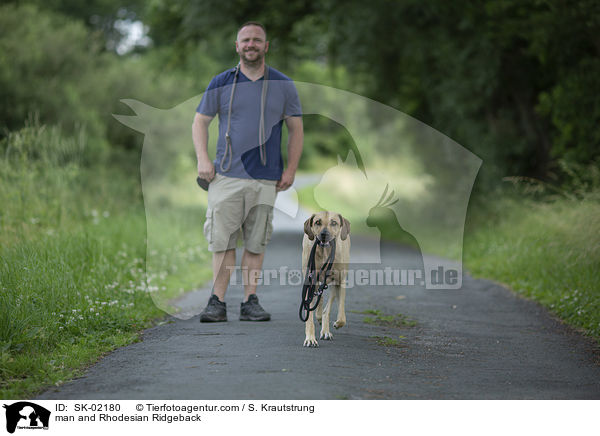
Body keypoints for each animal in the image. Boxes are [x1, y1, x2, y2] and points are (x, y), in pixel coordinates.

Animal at [302, 211, 350, 348]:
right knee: (319, 297)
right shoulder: (309, 281)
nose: (324, 234)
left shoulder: (340, 282)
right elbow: (309, 315)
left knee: (326, 306)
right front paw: (310, 338)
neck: (325, 252)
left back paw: (325, 330)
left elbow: (341, 315)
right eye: (318, 222)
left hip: (332, 285)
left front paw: (337, 323)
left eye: (334, 223)